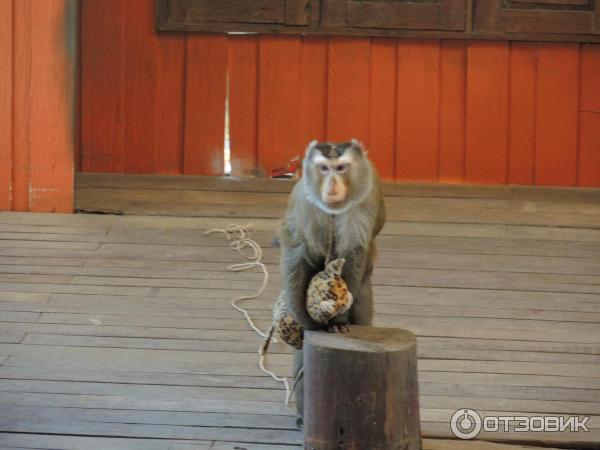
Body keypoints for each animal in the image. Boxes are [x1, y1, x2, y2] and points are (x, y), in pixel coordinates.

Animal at [276, 139, 384, 428]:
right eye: (324, 168)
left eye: (341, 168)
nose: (332, 185)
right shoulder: (304, 203)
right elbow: (296, 247)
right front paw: (304, 318)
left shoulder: (363, 206)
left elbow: (354, 253)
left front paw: (338, 320)